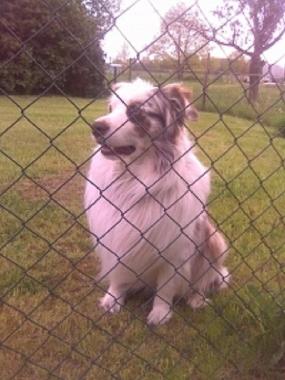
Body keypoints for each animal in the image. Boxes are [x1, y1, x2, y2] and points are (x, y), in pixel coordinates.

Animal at [84, 78, 229, 326]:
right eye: (111, 108)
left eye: (135, 112)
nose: (95, 127)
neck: (134, 181)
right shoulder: (115, 237)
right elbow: (118, 274)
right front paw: (113, 298)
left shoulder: (175, 248)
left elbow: (166, 287)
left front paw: (160, 313)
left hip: (214, 240)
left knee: (205, 279)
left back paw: (196, 298)